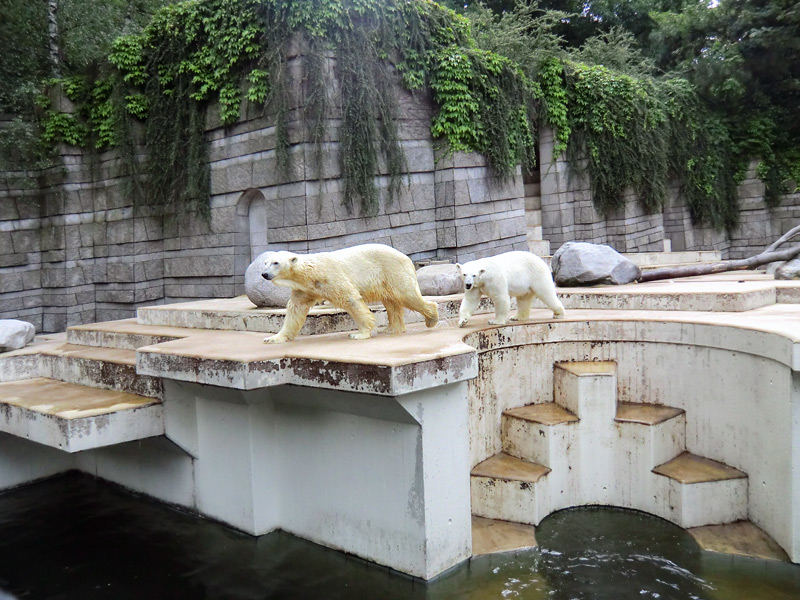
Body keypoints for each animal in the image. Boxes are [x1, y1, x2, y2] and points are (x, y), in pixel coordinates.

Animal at [260, 243, 438, 342]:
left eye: (276, 263)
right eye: (265, 263)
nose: (264, 274)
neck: (311, 272)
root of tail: (406, 257)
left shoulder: (331, 277)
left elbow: (350, 299)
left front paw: (359, 334)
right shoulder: (304, 289)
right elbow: (295, 310)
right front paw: (274, 338)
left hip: (392, 270)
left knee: (407, 295)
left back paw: (432, 318)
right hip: (386, 279)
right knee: (391, 302)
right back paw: (391, 329)